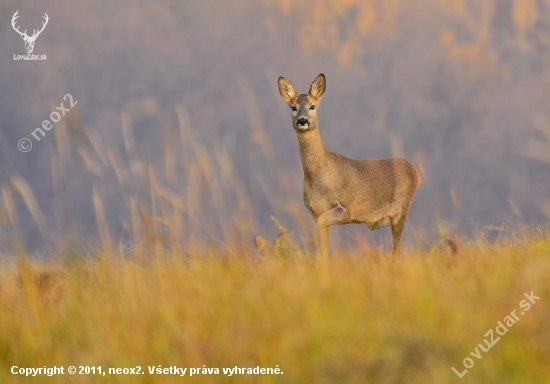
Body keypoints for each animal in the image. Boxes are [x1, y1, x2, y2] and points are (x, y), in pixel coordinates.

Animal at [280, 73, 422, 258]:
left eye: (312, 106)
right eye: (293, 107)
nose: (302, 121)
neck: (319, 175)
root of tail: (416, 172)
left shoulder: (344, 209)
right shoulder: (316, 212)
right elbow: (323, 249)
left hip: (400, 212)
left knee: (396, 251)